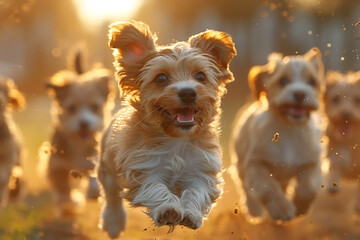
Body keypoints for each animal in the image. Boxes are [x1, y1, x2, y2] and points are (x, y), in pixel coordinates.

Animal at [45, 48, 112, 216]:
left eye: (95, 106)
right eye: (71, 108)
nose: (84, 123)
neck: (78, 144)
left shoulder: (94, 158)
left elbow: (94, 174)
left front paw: (93, 191)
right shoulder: (57, 164)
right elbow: (62, 187)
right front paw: (66, 204)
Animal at [96, 21, 236, 238]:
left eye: (200, 76)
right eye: (161, 78)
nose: (188, 92)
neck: (177, 139)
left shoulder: (202, 168)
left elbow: (197, 189)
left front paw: (190, 213)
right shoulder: (143, 165)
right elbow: (155, 188)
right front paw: (168, 209)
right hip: (107, 166)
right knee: (111, 196)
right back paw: (114, 221)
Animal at [231, 48, 326, 223]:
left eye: (311, 81)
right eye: (283, 80)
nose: (300, 93)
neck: (289, 128)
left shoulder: (312, 161)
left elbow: (308, 187)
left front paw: (300, 207)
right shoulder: (255, 163)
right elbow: (269, 187)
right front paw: (282, 210)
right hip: (240, 164)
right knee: (246, 188)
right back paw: (254, 211)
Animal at [324, 71, 360, 212]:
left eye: (357, 99)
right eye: (335, 99)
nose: (345, 114)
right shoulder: (333, 151)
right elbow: (335, 164)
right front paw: (332, 184)